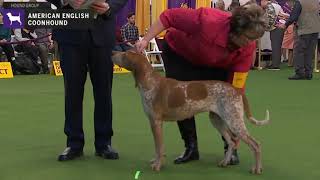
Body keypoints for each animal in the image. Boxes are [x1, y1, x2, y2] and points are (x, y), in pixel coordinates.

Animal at [112, 51, 270, 174]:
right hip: (217, 120)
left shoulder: (156, 122)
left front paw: (157, 165)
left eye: (124, 55)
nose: (113, 53)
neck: (150, 83)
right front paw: (156, 162)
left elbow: (159, 147)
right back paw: (224, 162)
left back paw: (257, 169)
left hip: (234, 120)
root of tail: (236, 90)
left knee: (255, 144)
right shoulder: (153, 122)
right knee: (231, 142)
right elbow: (158, 148)